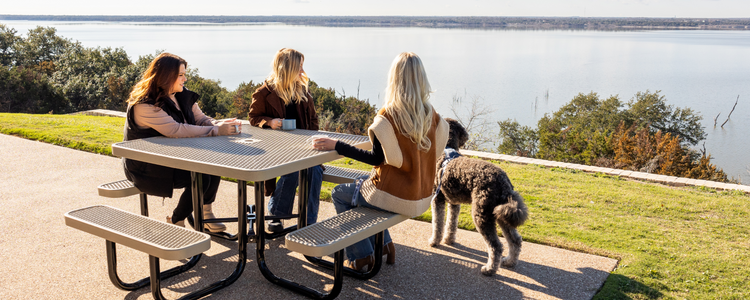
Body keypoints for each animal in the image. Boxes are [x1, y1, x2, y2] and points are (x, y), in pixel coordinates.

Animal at [432, 118, 532, 276]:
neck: (448, 149)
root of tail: (504, 183)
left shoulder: (438, 199)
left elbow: (438, 223)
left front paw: (434, 241)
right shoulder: (454, 203)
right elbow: (451, 223)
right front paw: (449, 240)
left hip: (482, 214)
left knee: (496, 246)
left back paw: (490, 269)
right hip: (501, 212)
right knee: (515, 240)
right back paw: (509, 262)